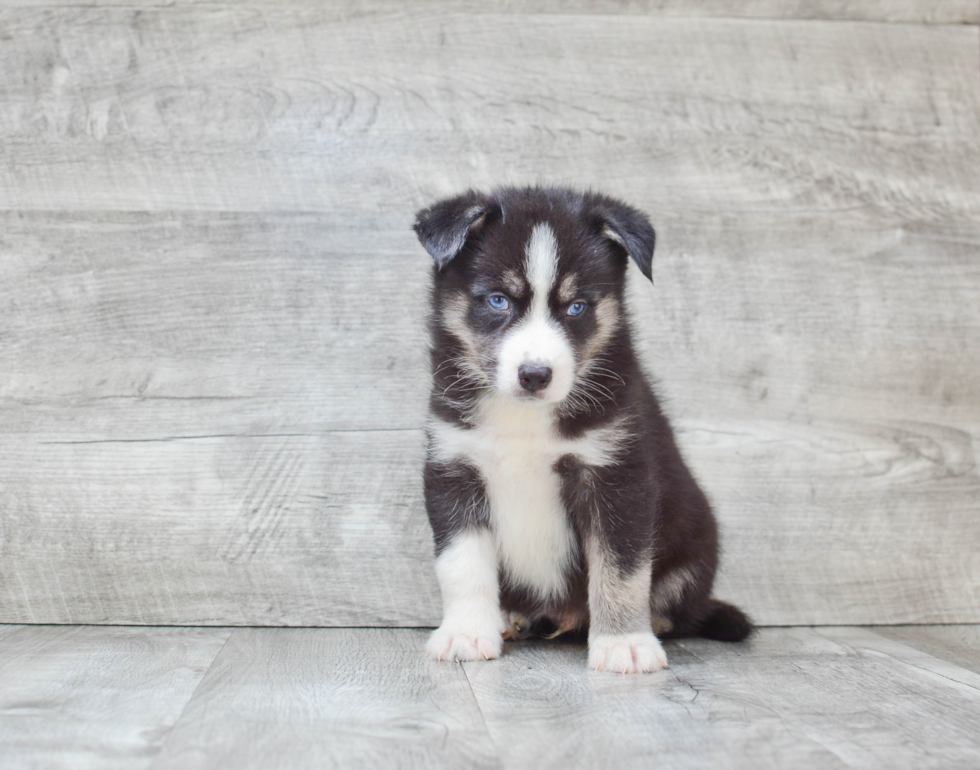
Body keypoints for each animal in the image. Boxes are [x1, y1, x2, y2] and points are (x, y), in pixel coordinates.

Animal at [412, 186, 752, 672]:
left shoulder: (616, 475)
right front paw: (466, 633)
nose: (535, 375)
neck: (525, 421)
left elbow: (621, 570)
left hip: (696, 537)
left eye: (576, 307)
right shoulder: (455, 467)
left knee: (676, 606)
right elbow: (462, 564)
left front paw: (625, 642)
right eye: (498, 300)